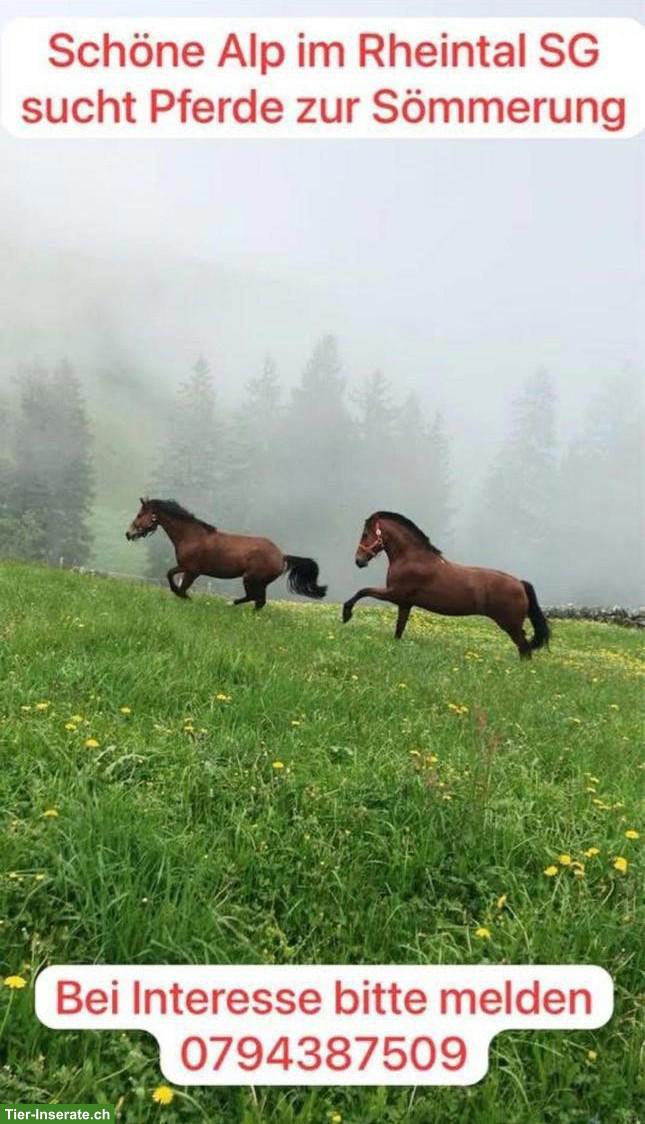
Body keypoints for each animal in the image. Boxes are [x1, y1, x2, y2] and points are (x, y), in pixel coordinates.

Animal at [125, 498, 327, 609]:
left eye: (140, 515)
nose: (129, 533)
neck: (192, 536)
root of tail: (282, 556)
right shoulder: (187, 569)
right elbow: (173, 578)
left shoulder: (191, 570)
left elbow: (174, 580)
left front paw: (185, 597)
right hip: (259, 582)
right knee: (259, 601)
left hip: (251, 579)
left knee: (255, 598)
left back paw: (230, 604)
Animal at [342, 511, 550, 658]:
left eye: (365, 534)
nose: (358, 561)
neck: (411, 557)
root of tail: (520, 584)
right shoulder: (405, 603)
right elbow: (399, 629)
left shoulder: (394, 593)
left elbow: (363, 591)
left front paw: (346, 614)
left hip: (510, 625)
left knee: (524, 648)